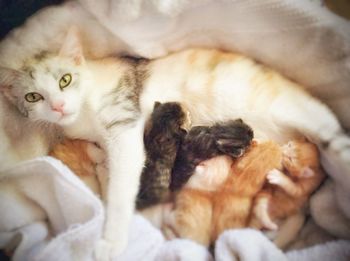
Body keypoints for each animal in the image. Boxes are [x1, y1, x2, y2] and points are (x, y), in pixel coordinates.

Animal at [0, 27, 350, 258]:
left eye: (65, 80)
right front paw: (99, 165)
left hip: (299, 112)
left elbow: (120, 190)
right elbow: (102, 163)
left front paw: (111, 242)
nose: (58, 106)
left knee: (334, 138)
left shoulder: (125, 131)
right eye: (33, 97)